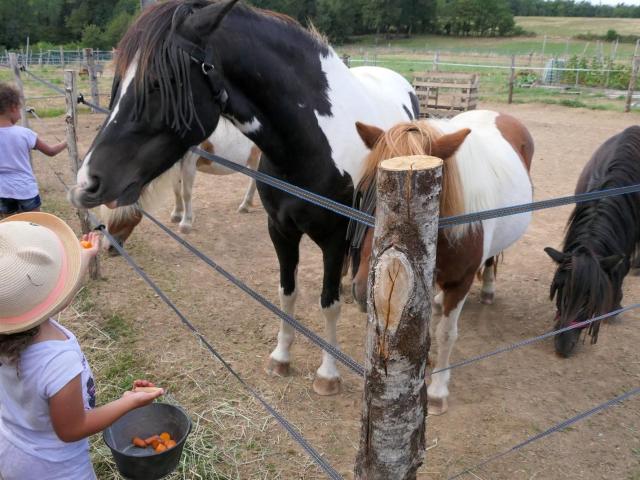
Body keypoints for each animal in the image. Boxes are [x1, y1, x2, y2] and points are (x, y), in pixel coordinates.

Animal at [100, 117, 260, 251]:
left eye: (121, 213)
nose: (108, 247)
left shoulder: (189, 162)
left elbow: (186, 193)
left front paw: (186, 224)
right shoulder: (176, 165)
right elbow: (176, 190)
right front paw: (177, 214)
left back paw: (245, 205)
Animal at [350, 110, 536, 414]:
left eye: (429, 202)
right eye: (364, 190)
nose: (366, 292)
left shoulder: (460, 282)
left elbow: (446, 334)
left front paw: (438, 390)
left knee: (490, 261)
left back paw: (488, 290)